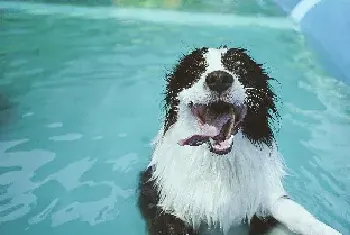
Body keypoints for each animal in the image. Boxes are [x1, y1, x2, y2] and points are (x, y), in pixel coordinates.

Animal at [137, 46, 342, 235]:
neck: (218, 163)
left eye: (239, 67)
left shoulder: (265, 197)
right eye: (197, 69)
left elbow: (293, 212)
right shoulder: (166, 201)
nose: (219, 78)